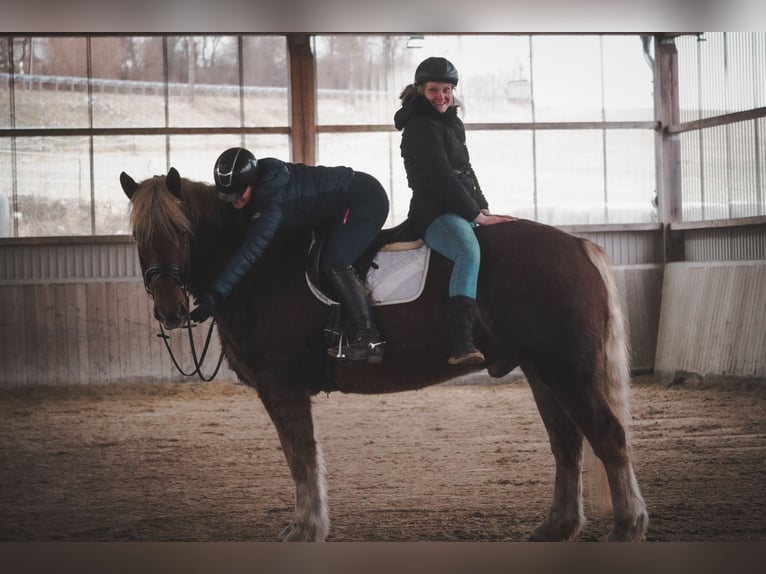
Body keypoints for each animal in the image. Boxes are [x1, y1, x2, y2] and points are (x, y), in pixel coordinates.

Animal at [118, 168, 648, 544]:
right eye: (140, 237)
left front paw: (305, 529)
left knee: (607, 437)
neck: (257, 264)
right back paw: (556, 528)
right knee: (567, 443)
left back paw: (627, 528)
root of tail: (578, 245)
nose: (169, 310)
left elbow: (300, 455)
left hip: (567, 370)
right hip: (542, 371)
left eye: (181, 232)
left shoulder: (281, 385)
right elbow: (300, 455)